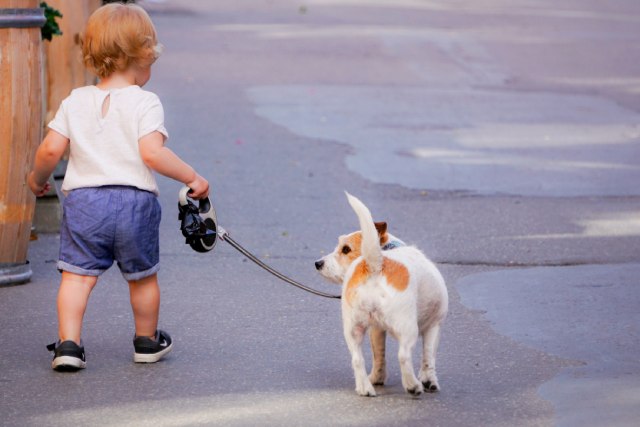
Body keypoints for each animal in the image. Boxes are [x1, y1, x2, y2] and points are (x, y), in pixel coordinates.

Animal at [316, 194, 448, 398]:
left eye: (345, 249)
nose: (318, 263)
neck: (387, 249)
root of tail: (375, 264)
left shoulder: (376, 330)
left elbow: (378, 355)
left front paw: (377, 378)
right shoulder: (433, 326)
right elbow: (428, 357)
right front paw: (429, 381)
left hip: (352, 329)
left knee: (357, 359)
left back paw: (365, 388)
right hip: (408, 328)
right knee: (403, 356)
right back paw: (413, 385)